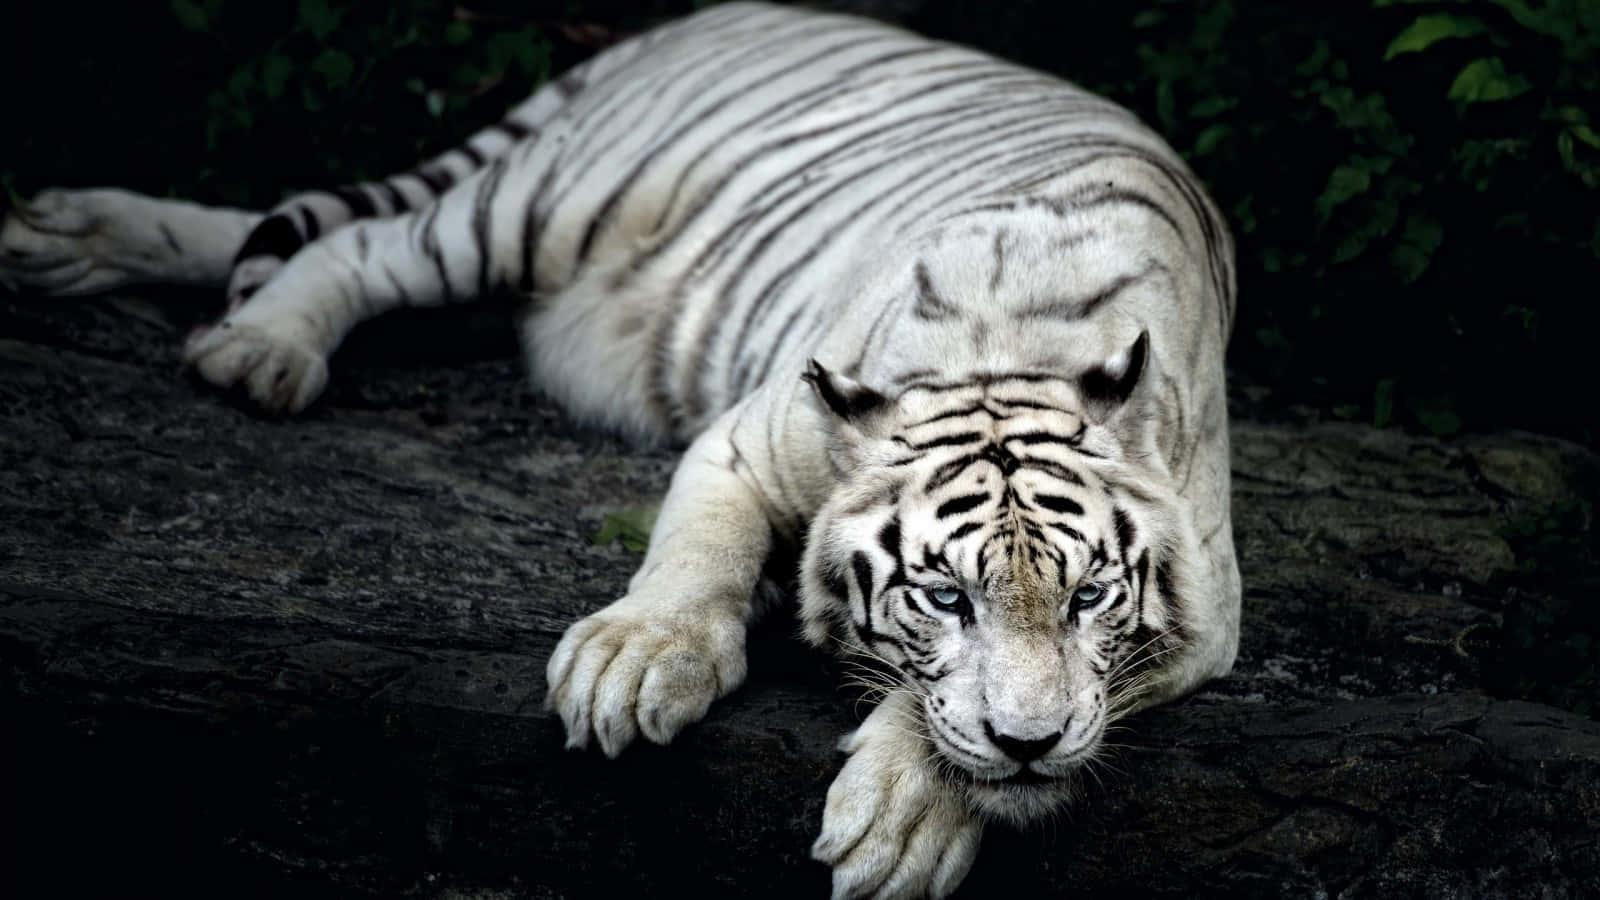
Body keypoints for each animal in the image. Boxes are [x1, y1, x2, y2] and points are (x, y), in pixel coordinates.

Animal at [0, 3, 1235, 890]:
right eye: (945, 598)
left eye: (1088, 599)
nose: (1029, 743)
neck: (1011, 346)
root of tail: (709, 14)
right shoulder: (745, 441)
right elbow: (691, 562)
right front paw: (633, 663)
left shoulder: (1206, 612)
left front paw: (909, 814)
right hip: (541, 203)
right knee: (350, 241)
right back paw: (254, 345)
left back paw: (64, 241)